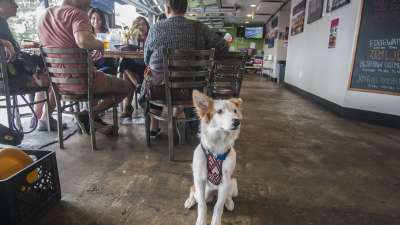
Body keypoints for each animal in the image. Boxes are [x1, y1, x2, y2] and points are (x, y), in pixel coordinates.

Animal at [185, 90, 244, 225]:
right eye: (219, 111)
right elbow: (202, 205)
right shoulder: (199, 178)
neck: (217, 146)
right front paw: (201, 221)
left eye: (235, 111)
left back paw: (229, 202)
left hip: (233, 185)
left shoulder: (225, 181)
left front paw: (216, 221)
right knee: (193, 191)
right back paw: (190, 201)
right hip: (203, 190)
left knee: (226, 197)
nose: (237, 122)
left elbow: (218, 206)